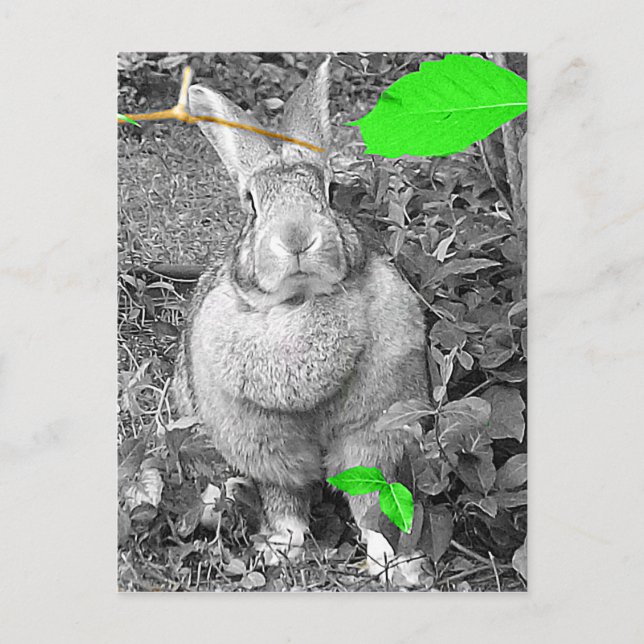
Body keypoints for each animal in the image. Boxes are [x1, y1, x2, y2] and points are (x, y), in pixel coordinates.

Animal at [173, 57, 428, 575]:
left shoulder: (372, 432)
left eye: (330, 192)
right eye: (251, 204)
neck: (300, 302)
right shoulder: (267, 450)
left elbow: (369, 501)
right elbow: (285, 499)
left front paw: (392, 563)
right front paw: (283, 547)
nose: (296, 238)